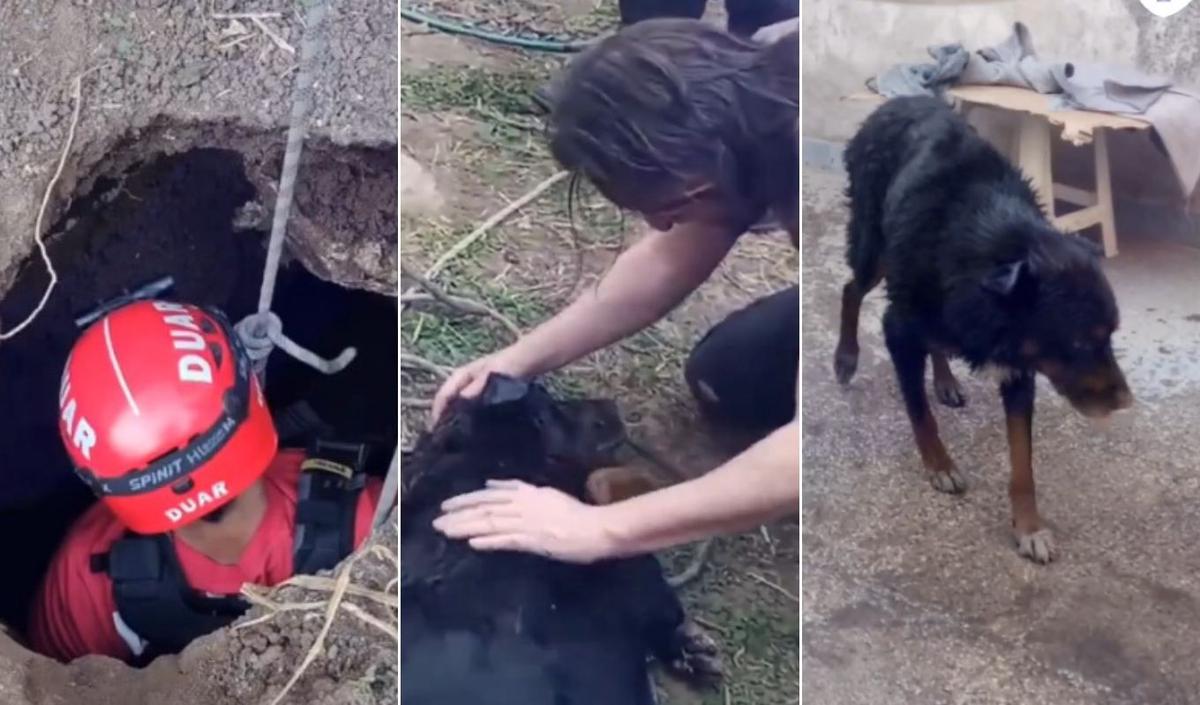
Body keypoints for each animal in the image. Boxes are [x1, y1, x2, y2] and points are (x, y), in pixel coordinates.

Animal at [835, 96, 1132, 563]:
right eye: (1079, 341)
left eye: (1111, 335)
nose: (1125, 403)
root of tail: (900, 99)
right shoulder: (898, 329)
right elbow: (920, 414)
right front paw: (940, 466)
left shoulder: (1019, 366)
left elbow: (1023, 462)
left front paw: (1029, 527)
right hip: (873, 247)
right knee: (852, 288)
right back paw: (846, 357)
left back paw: (945, 380)